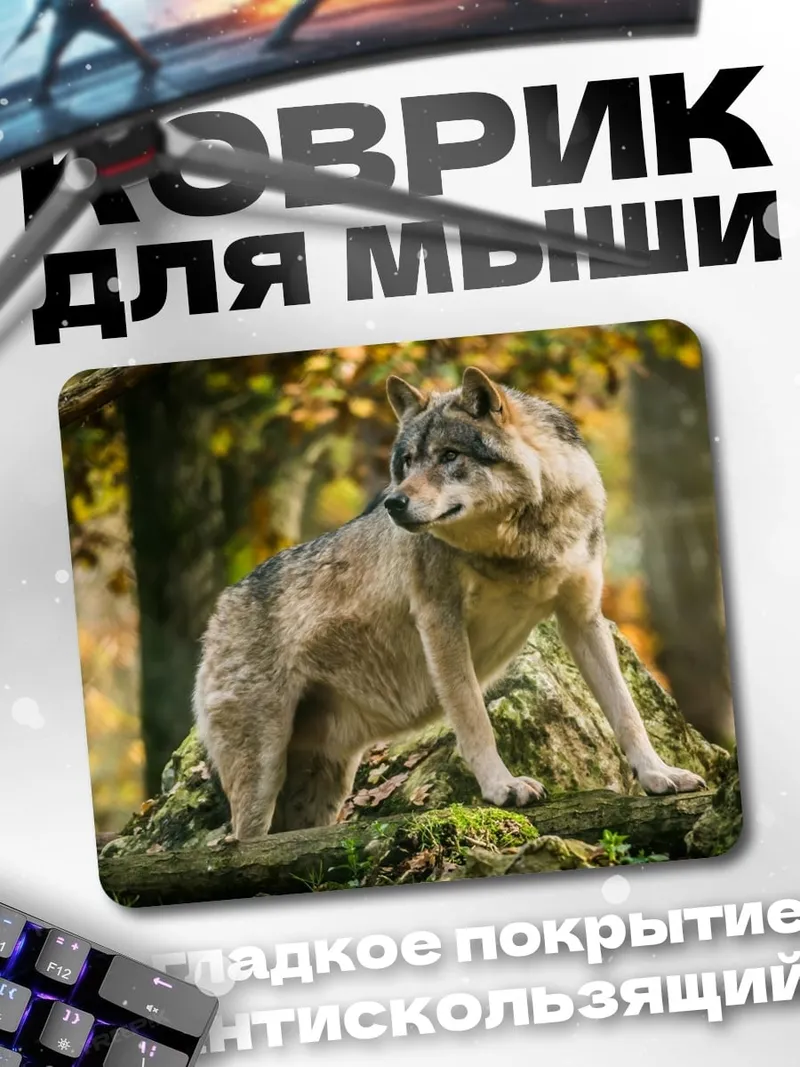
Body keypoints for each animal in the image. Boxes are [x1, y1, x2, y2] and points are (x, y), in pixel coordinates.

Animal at [194, 366, 705, 841]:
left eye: (449, 456)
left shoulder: (582, 619)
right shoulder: (440, 622)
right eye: (407, 461)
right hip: (264, 774)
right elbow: (474, 717)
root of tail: (220, 609)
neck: (518, 547)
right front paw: (502, 788)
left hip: (322, 785)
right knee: (242, 842)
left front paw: (659, 776)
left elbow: (627, 712)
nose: (393, 504)